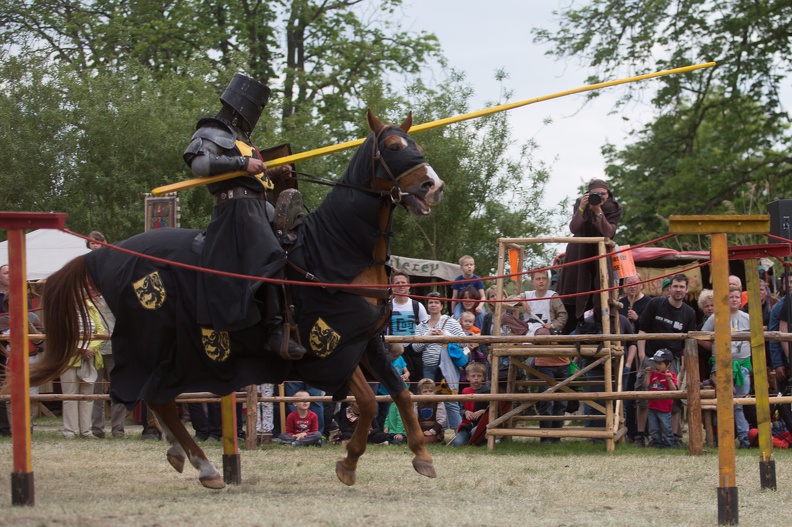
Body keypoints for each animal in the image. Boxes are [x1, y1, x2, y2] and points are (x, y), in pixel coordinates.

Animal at [24, 110, 446, 490]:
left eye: (415, 144)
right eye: (393, 147)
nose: (434, 186)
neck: (336, 249)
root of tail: (101, 256)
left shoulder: (368, 342)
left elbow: (402, 393)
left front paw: (422, 457)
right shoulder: (330, 350)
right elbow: (371, 402)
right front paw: (348, 465)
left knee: (158, 399)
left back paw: (187, 457)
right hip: (157, 345)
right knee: (152, 396)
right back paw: (204, 466)